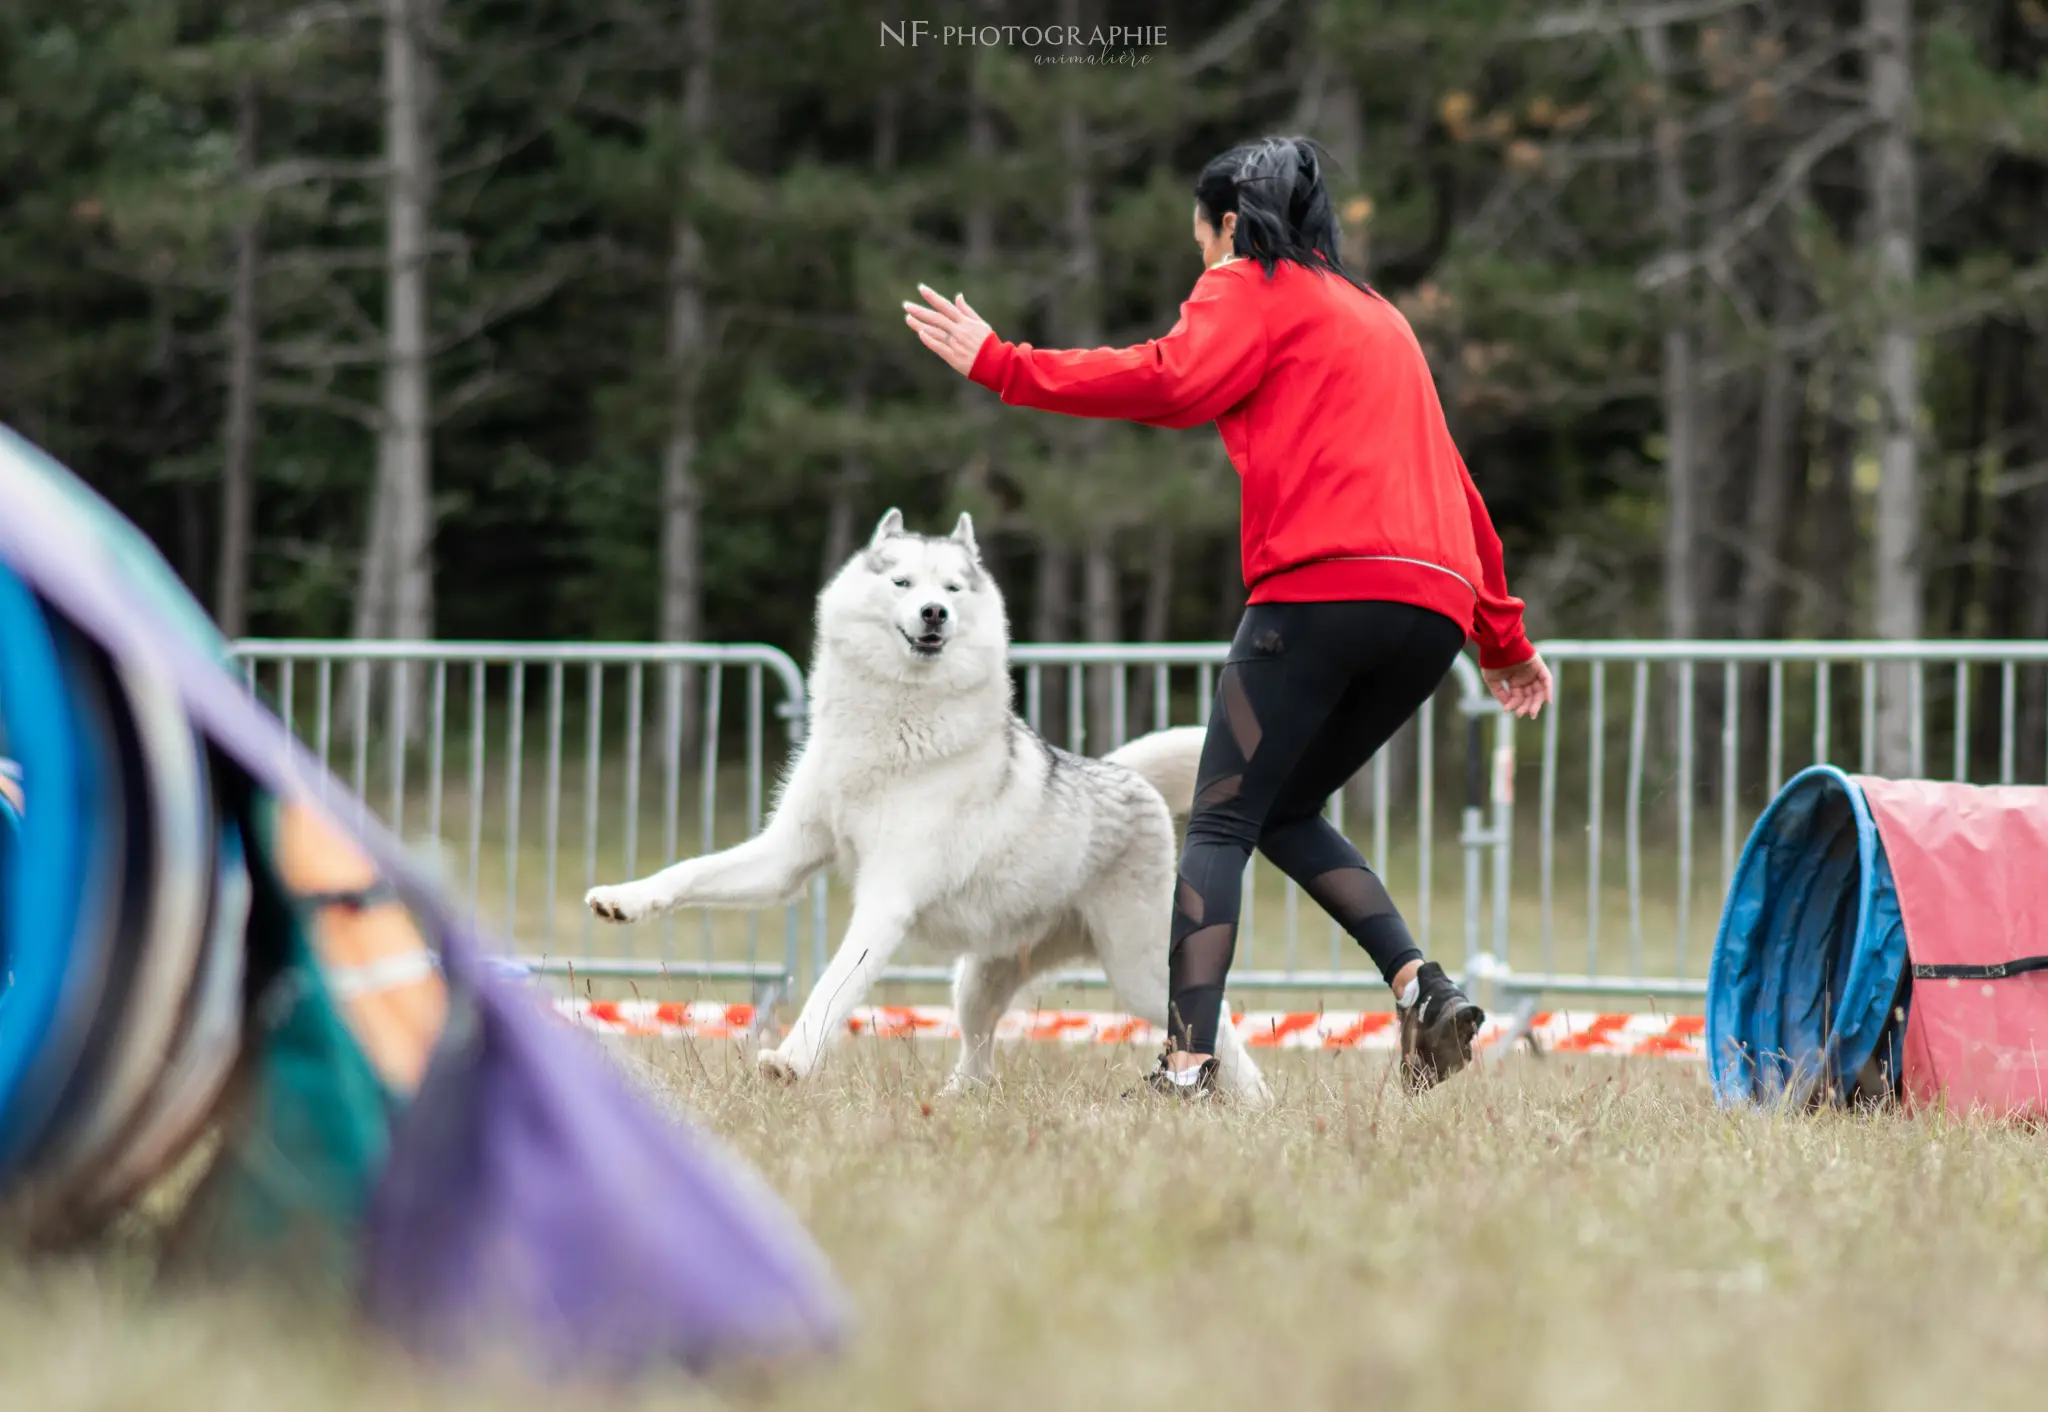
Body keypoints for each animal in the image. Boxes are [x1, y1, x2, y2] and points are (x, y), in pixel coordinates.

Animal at [585, 510, 1269, 1098]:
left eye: (953, 588)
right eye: (903, 583)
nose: (934, 611)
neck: (891, 729)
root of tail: (1126, 775)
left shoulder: (886, 901)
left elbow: (831, 989)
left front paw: (791, 1061)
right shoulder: (786, 857)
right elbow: (687, 872)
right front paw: (624, 899)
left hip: (1141, 975)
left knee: (1221, 1029)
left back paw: (1253, 1105)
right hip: (977, 982)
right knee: (980, 1058)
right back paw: (956, 1101)